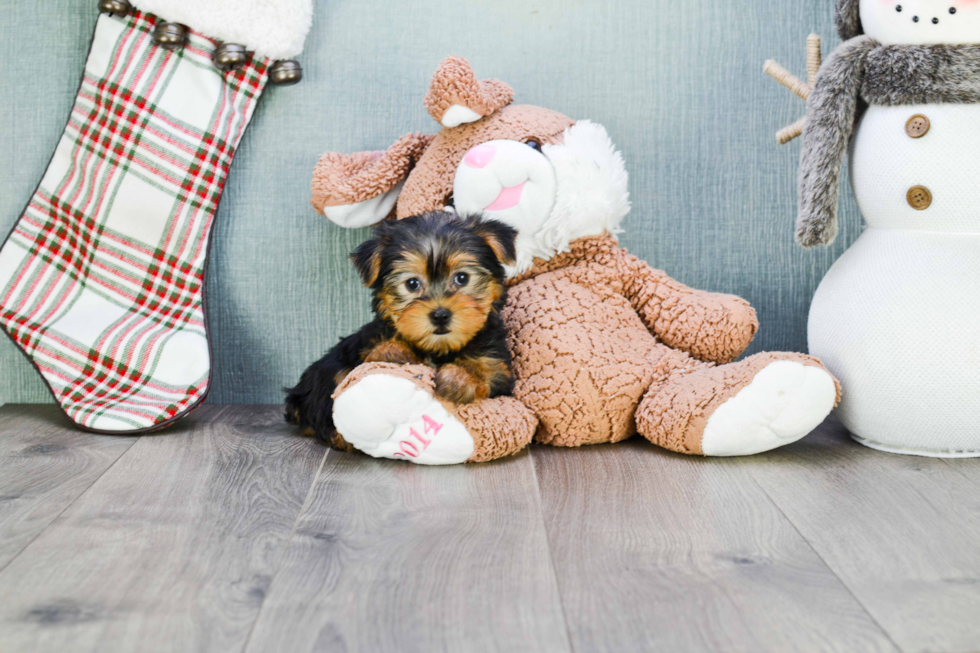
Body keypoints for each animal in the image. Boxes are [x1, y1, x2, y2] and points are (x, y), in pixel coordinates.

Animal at [286, 211, 520, 446]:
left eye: (462, 278)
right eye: (412, 284)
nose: (440, 315)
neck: (437, 348)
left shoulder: (497, 365)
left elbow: (489, 373)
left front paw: (459, 379)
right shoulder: (366, 345)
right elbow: (371, 359)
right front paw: (394, 352)